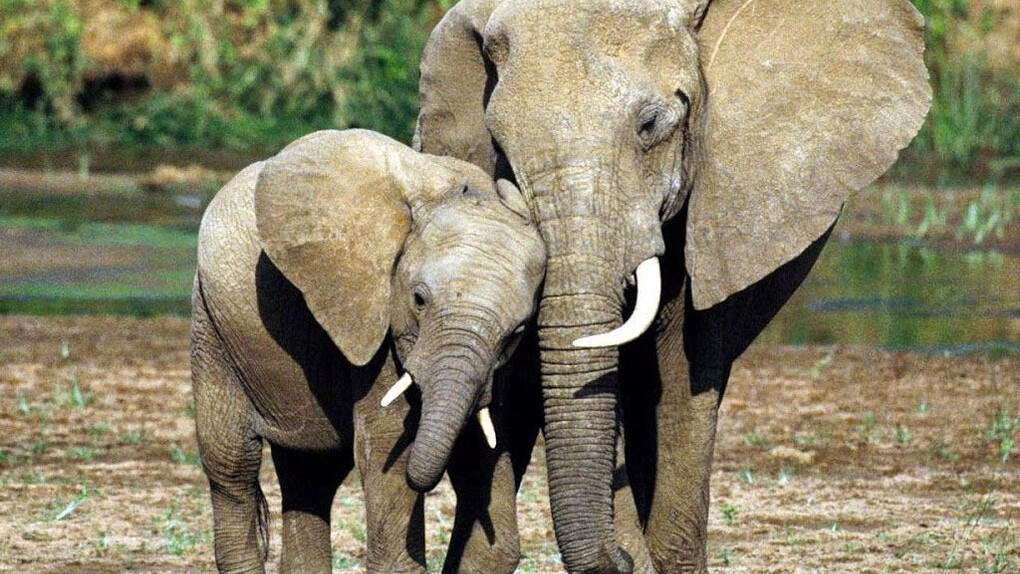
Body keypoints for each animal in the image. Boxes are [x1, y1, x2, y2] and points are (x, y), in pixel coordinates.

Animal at [190, 128, 546, 573]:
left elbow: (484, 449)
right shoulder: (373, 319)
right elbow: (389, 442)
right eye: (419, 300)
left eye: (518, 331)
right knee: (232, 466)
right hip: (212, 328)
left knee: (310, 476)